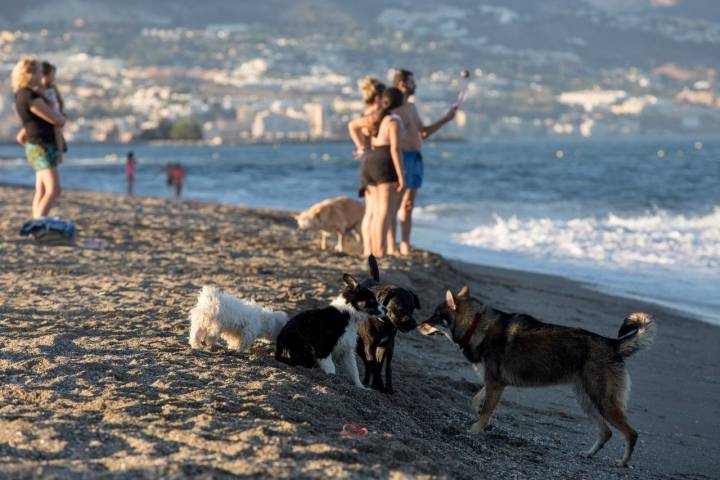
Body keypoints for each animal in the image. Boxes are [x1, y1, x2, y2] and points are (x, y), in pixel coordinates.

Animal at [356, 255, 420, 394]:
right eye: (401, 308)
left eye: (412, 308)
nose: (414, 325)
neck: (385, 324)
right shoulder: (370, 347)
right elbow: (374, 366)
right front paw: (378, 386)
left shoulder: (386, 346)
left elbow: (383, 367)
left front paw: (385, 387)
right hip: (359, 346)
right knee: (368, 364)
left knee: (377, 366)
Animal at [416, 286, 660, 466]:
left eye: (435, 316)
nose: (417, 325)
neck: (476, 325)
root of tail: (613, 343)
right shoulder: (495, 382)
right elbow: (476, 401)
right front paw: (477, 416)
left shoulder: (496, 383)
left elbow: (485, 411)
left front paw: (474, 432)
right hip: (587, 401)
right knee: (606, 432)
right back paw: (588, 454)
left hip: (603, 402)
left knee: (631, 434)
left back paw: (622, 463)